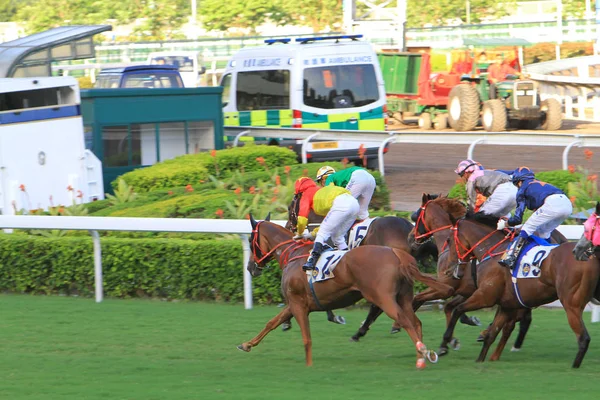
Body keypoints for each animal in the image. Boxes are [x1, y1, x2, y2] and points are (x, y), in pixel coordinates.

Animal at [239, 214, 454, 368]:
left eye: (251, 241)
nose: (250, 267)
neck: (293, 255)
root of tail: (397, 255)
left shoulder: (297, 303)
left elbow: (306, 338)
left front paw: (309, 366)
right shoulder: (296, 303)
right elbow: (271, 323)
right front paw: (246, 344)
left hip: (383, 298)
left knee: (403, 320)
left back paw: (421, 350)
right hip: (403, 297)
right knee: (415, 322)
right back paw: (421, 357)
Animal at [440, 209, 600, 368]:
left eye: (448, 240)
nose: (448, 269)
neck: (495, 250)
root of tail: (588, 256)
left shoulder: (485, 297)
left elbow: (458, 310)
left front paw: (445, 344)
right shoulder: (506, 305)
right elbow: (492, 334)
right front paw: (480, 359)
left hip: (571, 304)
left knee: (583, 338)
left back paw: (574, 367)